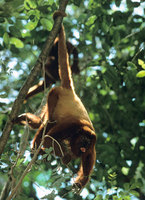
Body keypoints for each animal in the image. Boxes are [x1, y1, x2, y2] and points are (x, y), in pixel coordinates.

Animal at [14, 14, 96, 189]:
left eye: (87, 142)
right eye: (84, 139)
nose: (85, 143)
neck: (83, 130)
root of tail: (70, 92)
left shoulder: (94, 140)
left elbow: (88, 161)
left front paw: (80, 181)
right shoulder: (72, 126)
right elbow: (49, 138)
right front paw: (65, 156)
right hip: (54, 94)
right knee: (48, 123)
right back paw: (37, 142)